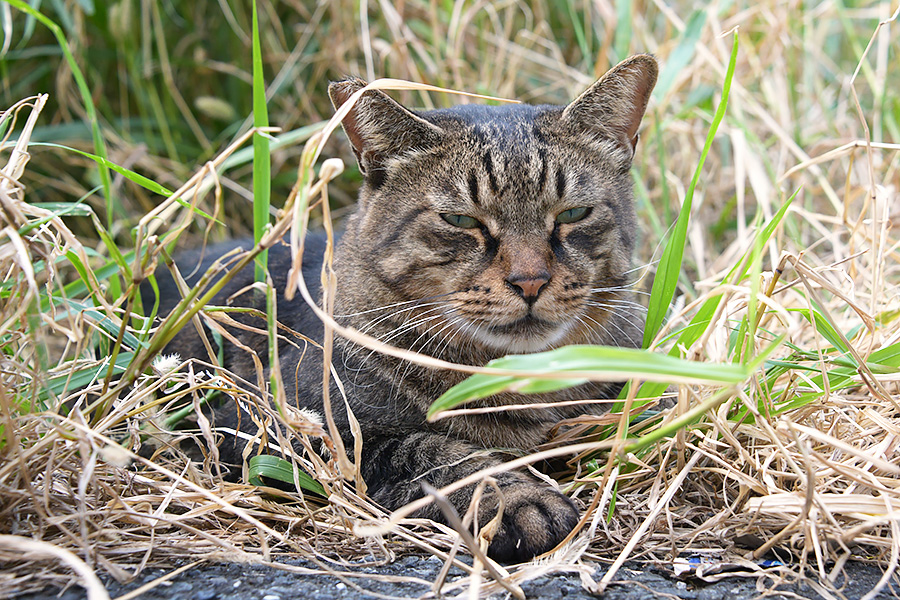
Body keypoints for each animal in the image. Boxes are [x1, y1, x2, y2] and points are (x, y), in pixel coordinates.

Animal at [153, 55, 660, 564]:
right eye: (460, 220)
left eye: (573, 214)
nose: (530, 280)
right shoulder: (269, 426)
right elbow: (433, 453)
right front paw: (517, 499)